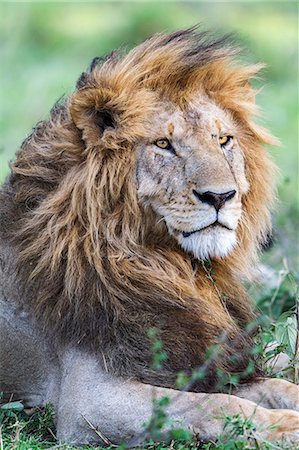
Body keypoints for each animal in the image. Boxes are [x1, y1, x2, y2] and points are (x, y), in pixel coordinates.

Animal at [0, 29, 299, 444]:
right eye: (163, 145)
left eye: (223, 140)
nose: (221, 196)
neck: (166, 265)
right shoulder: (88, 403)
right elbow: (216, 405)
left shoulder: (199, 354)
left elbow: (272, 383)